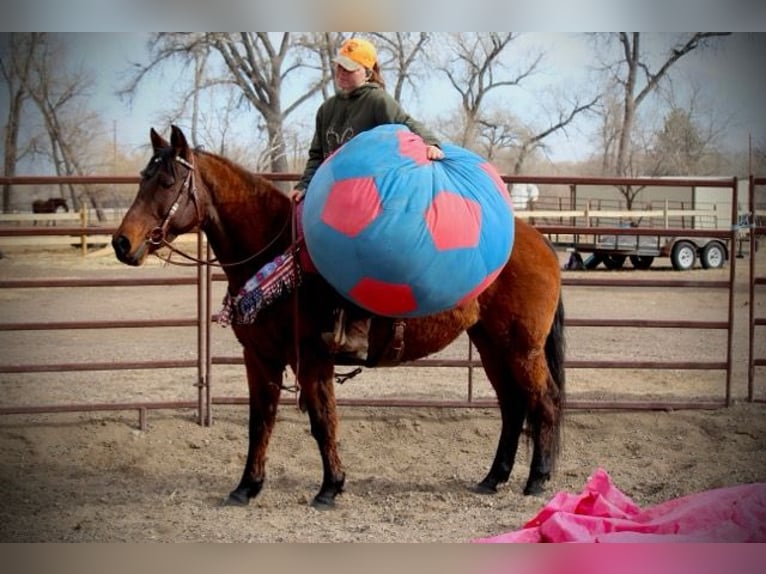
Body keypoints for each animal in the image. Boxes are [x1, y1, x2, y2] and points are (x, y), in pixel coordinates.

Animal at [115, 125, 568, 508]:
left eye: (167, 182)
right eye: (143, 177)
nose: (122, 243)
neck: (275, 252)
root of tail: (539, 241)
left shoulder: (313, 359)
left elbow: (322, 420)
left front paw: (330, 487)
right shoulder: (259, 357)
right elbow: (260, 420)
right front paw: (247, 487)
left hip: (521, 348)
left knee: (544, 400)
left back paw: (537, 480)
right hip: (491, 345)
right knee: (513, 405)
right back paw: (493, 478)